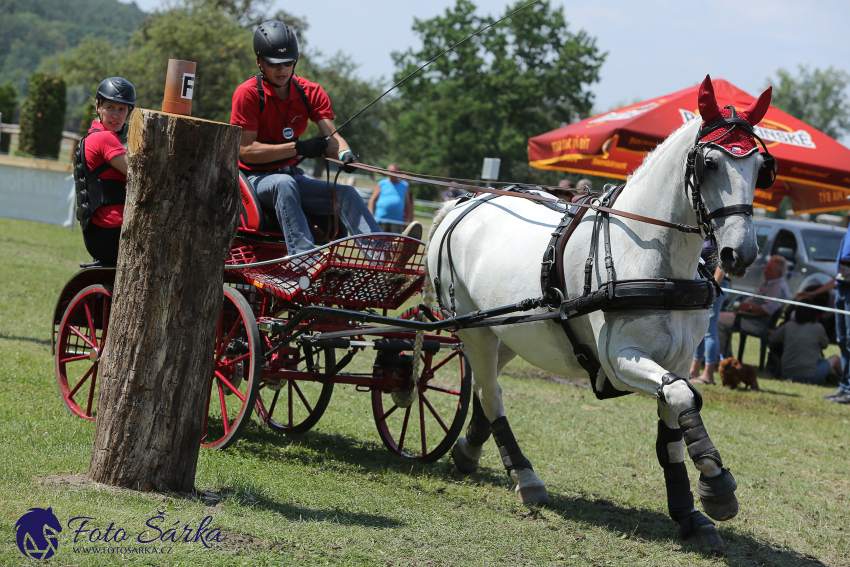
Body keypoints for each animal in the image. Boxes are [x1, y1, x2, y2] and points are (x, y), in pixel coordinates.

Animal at [422, 76, 768, 552]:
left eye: (761, 167)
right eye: (710, 163)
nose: (741, 254)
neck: (649, 252)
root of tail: (462, 203)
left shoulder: (678, 361)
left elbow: (673, 432)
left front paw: (688, 514)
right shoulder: (619, 360)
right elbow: (683, 397)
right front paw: (717, 488)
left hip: (510, 331)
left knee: (482, 388)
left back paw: (469, 451)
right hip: (474, 330)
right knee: (491, 394)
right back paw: (525, 476)